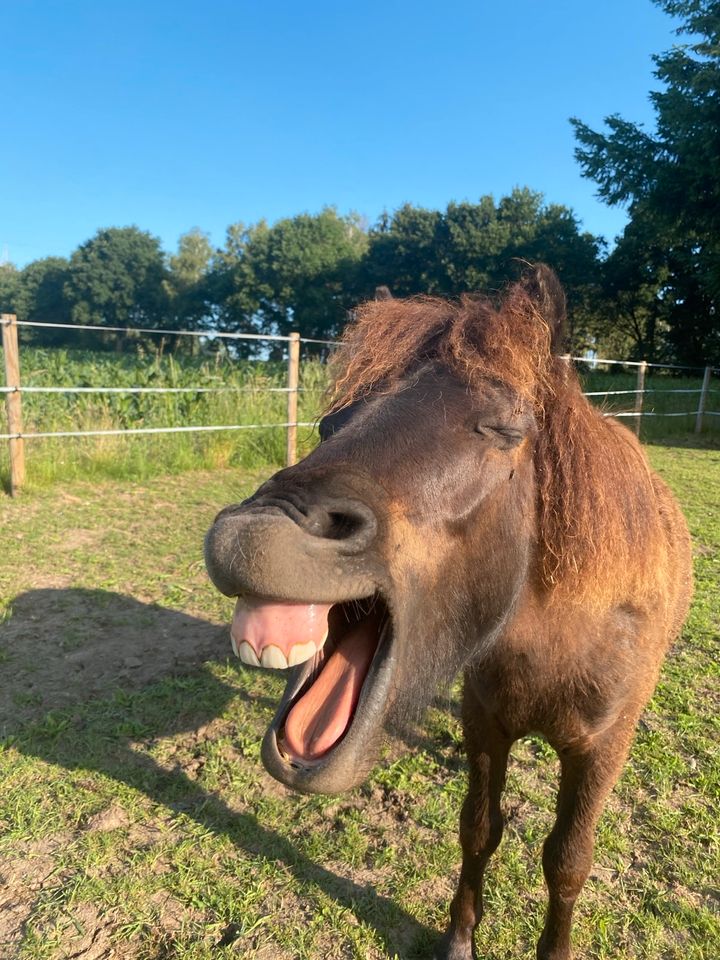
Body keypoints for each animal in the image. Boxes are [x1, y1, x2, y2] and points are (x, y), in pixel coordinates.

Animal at [204, 264, 692, 960]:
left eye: (502, 430)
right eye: (330, 424)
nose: (252, 532)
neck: (558, 636)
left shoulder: (601, 750)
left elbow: (568, 861)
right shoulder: (485, 725)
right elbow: (478, 830)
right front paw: (460, 936)